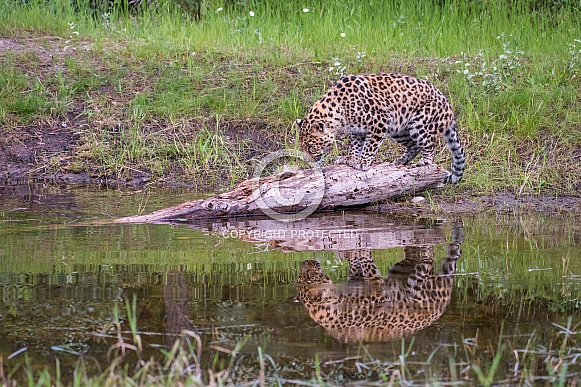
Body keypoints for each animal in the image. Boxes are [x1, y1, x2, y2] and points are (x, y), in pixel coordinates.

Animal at [294, 227, 462, 342]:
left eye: (305, 274)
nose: (307, 261)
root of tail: (445, 301)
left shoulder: (363, 282)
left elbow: (358, 261)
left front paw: (353, 249)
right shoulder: (374, 285)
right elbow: (365, 263)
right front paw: (358, 250)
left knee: (426, 254)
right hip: (409, 277)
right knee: (424, 259)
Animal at [296, 73, 464, 185]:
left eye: (311, 147)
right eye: (302, 148)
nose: (308, 162)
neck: (338, 111)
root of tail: (449, 108)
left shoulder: (380, 121)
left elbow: (370, 146)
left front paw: (362, 162)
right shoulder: (357, 130)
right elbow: (355, 145)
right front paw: (350, 159)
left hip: (419, 123)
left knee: (429, 146)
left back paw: (425, 161)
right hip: (399, 130)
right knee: (414, 146)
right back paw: (401, 161)